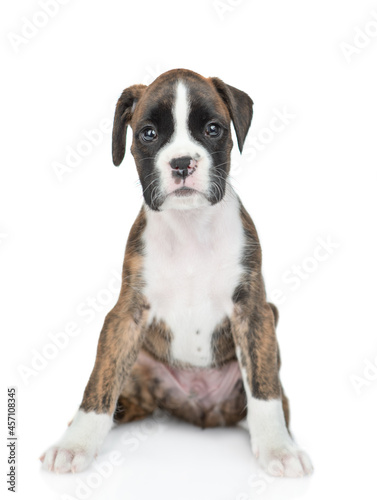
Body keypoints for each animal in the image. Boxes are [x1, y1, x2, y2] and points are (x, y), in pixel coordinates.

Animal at [40, 69, 312, 476]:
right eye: (149, 133)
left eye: (213, 129)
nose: (182, 163)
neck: (190, 226)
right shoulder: (126, 315)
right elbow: (99, 382)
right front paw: (75, 445)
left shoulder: (254, 312)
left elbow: (264, 388)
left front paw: (279, 449)